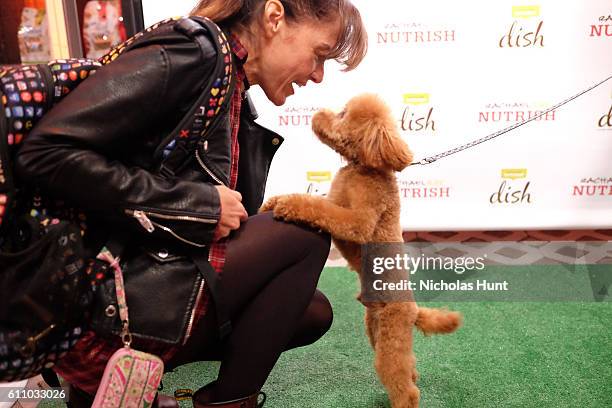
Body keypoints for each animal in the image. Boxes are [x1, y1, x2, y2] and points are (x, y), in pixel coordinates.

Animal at [260, 94, 462, 408]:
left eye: (343, 114)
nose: (318, 113)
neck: (362, 168)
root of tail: (413, 309)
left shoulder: (358, 220)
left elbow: (320, 209)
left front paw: (288, 206)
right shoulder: (335, 198)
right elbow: (314, 201)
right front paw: (272, 202)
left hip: (391, 337)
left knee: (404, 385)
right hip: (376, 330)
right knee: (410, 366)